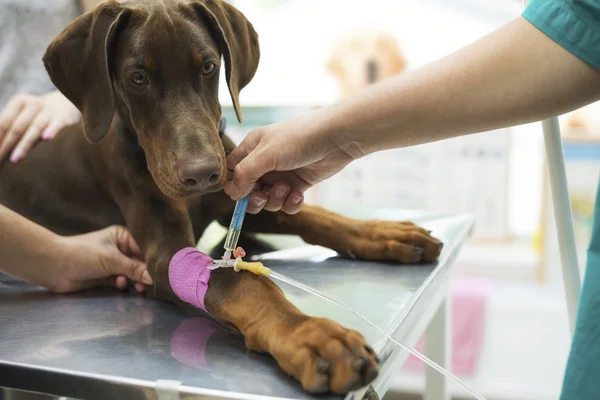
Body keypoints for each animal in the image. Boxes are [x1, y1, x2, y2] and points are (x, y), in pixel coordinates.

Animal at [0, 0, 440, 394]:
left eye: (208, 67)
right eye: (137, 77)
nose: (202, 174)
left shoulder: (236, 197)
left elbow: (310, 216)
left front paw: (383, 232)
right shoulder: (163, 251)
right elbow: (238, 281)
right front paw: (310, 334)